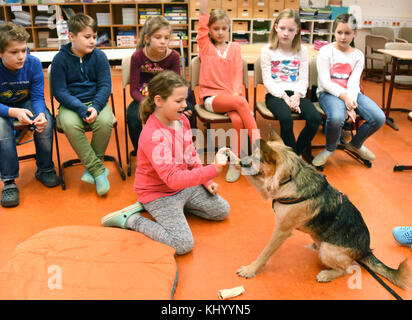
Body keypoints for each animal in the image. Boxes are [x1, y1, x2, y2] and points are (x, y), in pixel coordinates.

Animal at [235, 131, 408, 288]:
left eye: (255, 159)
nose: (243, 162)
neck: (290, 177)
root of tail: (366, 250)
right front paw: (233, 159)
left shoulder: (282, 231)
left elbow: (265, 252)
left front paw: (251, 269)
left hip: (328, 249)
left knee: (348, 268)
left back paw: (327, 274)